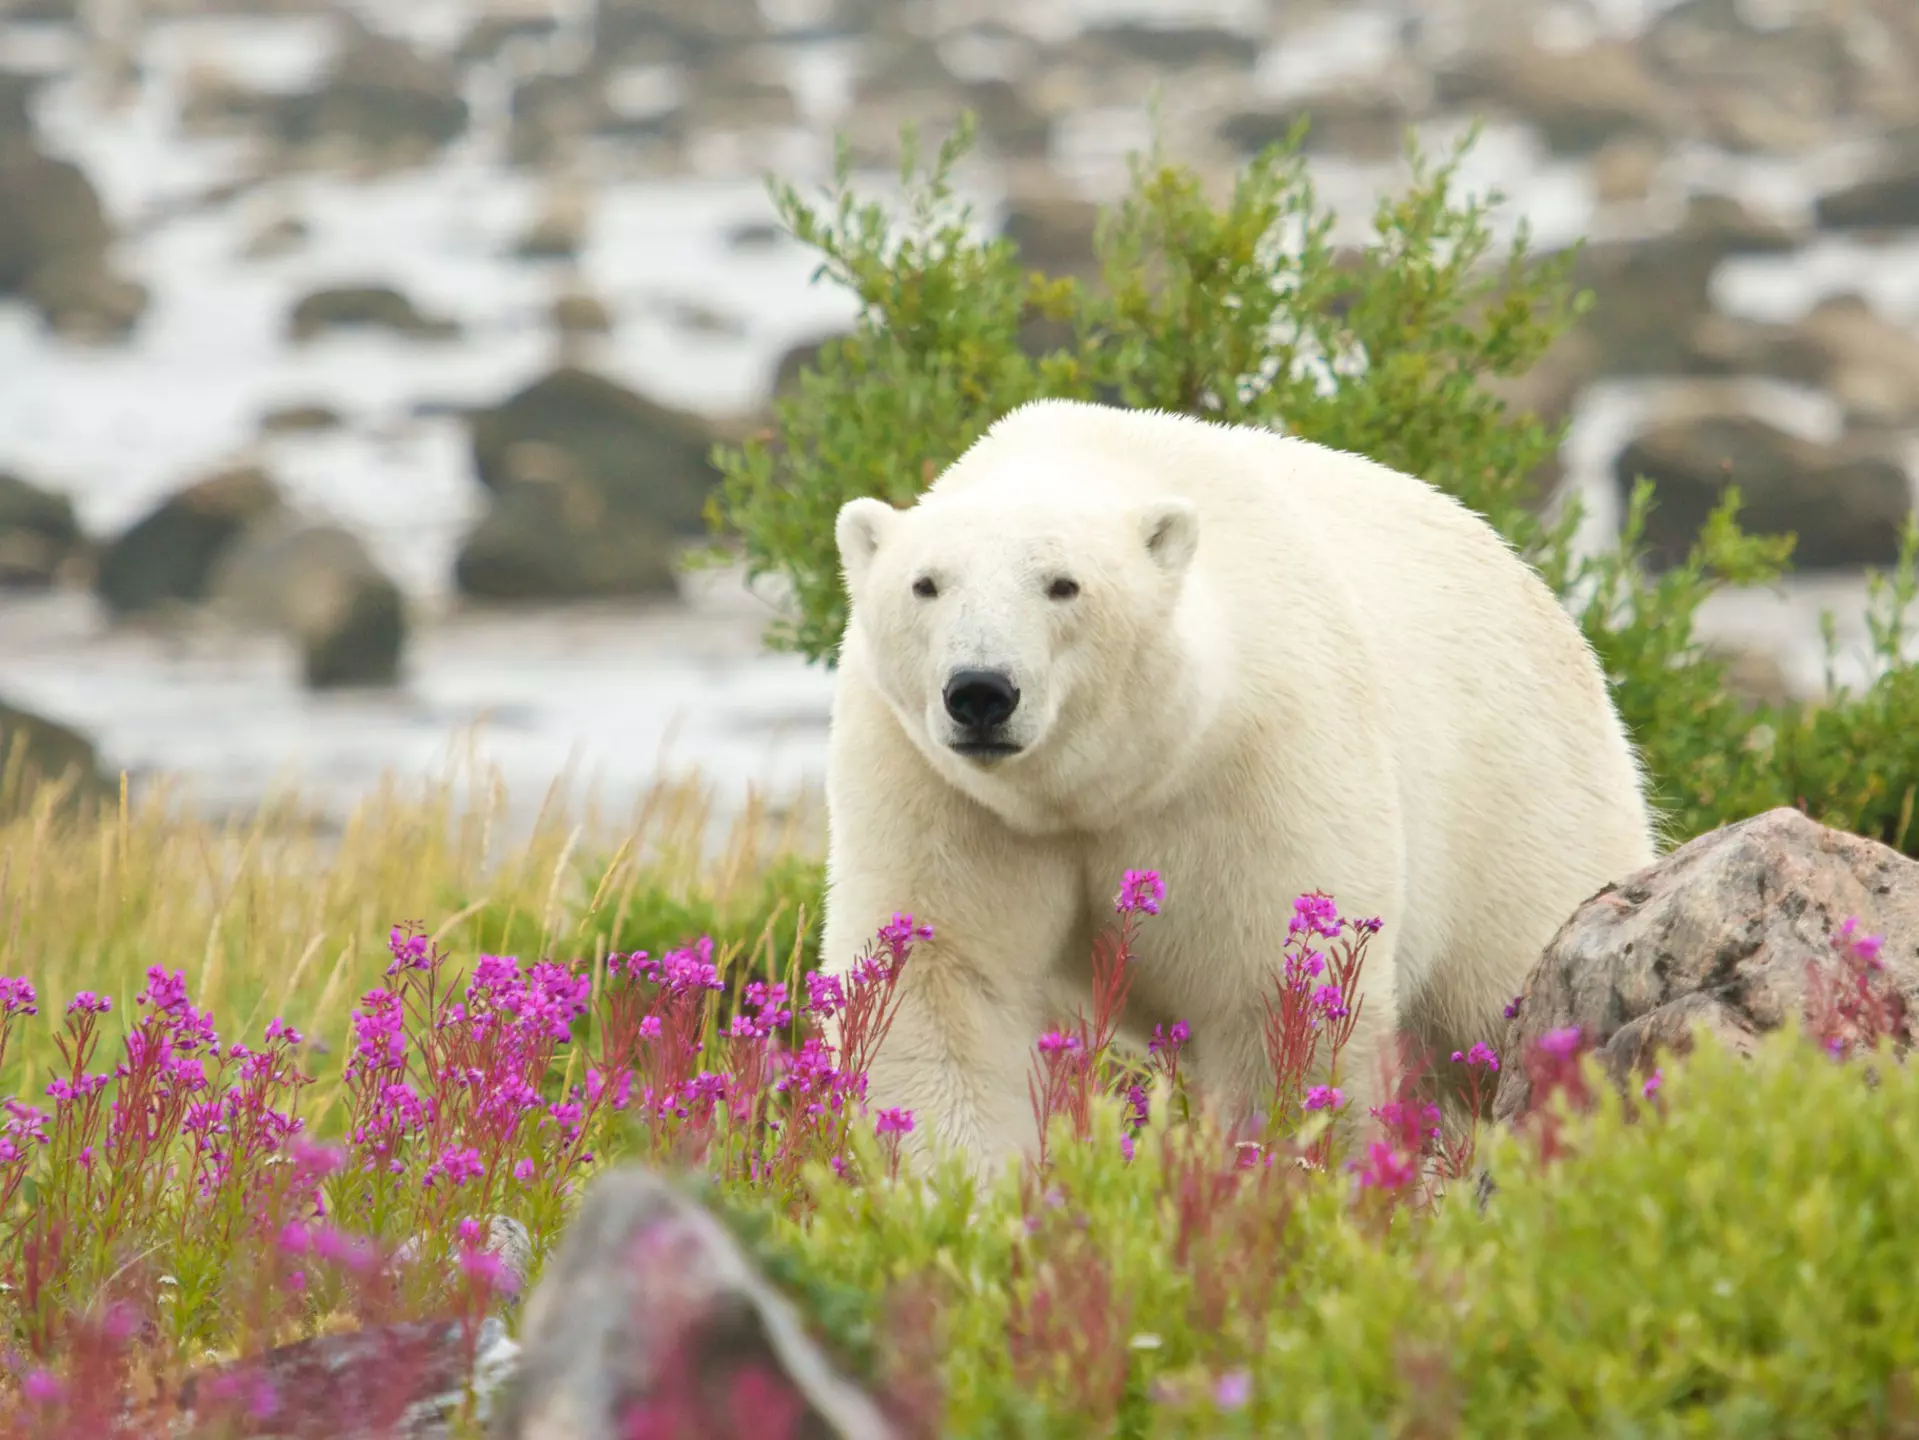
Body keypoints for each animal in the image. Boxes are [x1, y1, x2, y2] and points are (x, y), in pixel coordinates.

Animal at [818, 398, 1658, 1177]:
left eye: (1063, 585)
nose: (980, 692)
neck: (1091, 788)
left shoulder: (1256, 760)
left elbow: (1274, 995)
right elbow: (942, 978)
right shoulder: (937, 786)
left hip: (1519, 800)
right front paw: (960, 1191)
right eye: (925, 585)